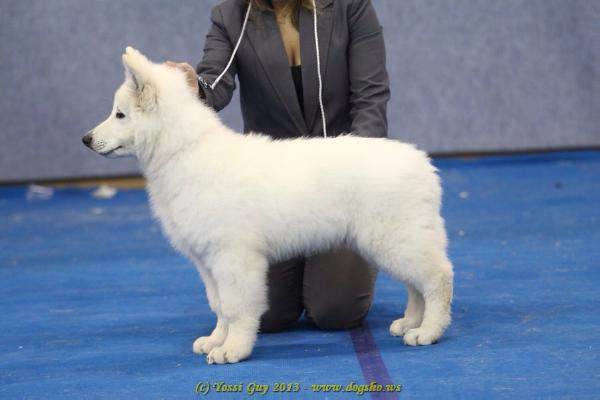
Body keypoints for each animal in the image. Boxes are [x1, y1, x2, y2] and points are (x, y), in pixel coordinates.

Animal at [82, 47, 452, 366]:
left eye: (120, 114)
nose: (86, 139)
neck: (183, 151)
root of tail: (423, 164)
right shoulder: (208, 262)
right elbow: (219, 305)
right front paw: (216, 340)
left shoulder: (234, 258)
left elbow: (236, 308)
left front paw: (233, 349)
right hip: (393, 244)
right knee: (415, 286)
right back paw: (411, 323)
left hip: (396, 240)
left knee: (437, 278)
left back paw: (429, 331)